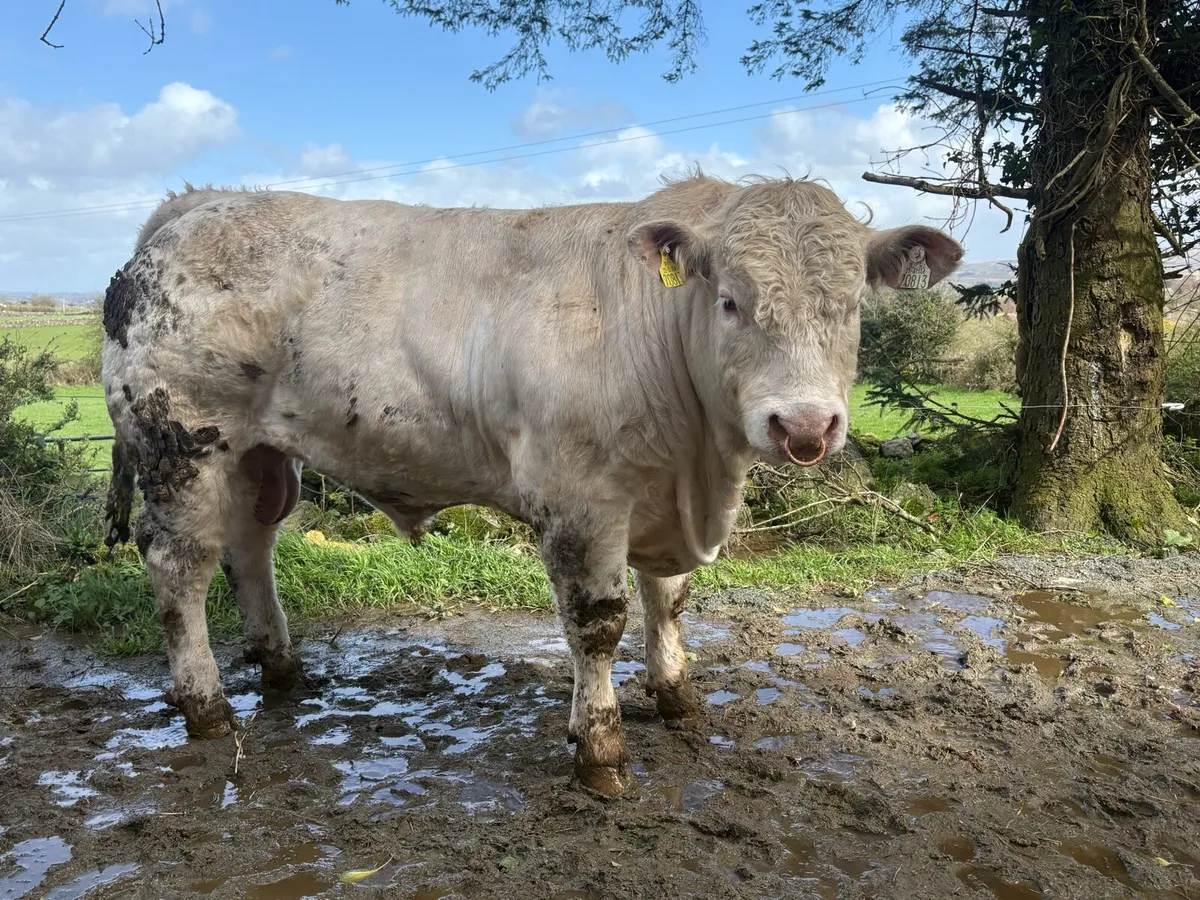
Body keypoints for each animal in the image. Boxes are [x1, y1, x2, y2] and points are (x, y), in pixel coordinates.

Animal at [101, 173, 962, 796]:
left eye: (850, 307)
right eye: (730, 301)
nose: (805, 426)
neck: (699, 466)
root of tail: (197, 205)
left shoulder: (664, 500)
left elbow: (670, 601)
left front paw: (678, 696)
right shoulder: (581, 501)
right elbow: (599, 625)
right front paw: (601, 749)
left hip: (259, 456)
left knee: (251, 548)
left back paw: (281, 671)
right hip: (182, 449)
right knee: (180, 568)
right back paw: (207, 706)